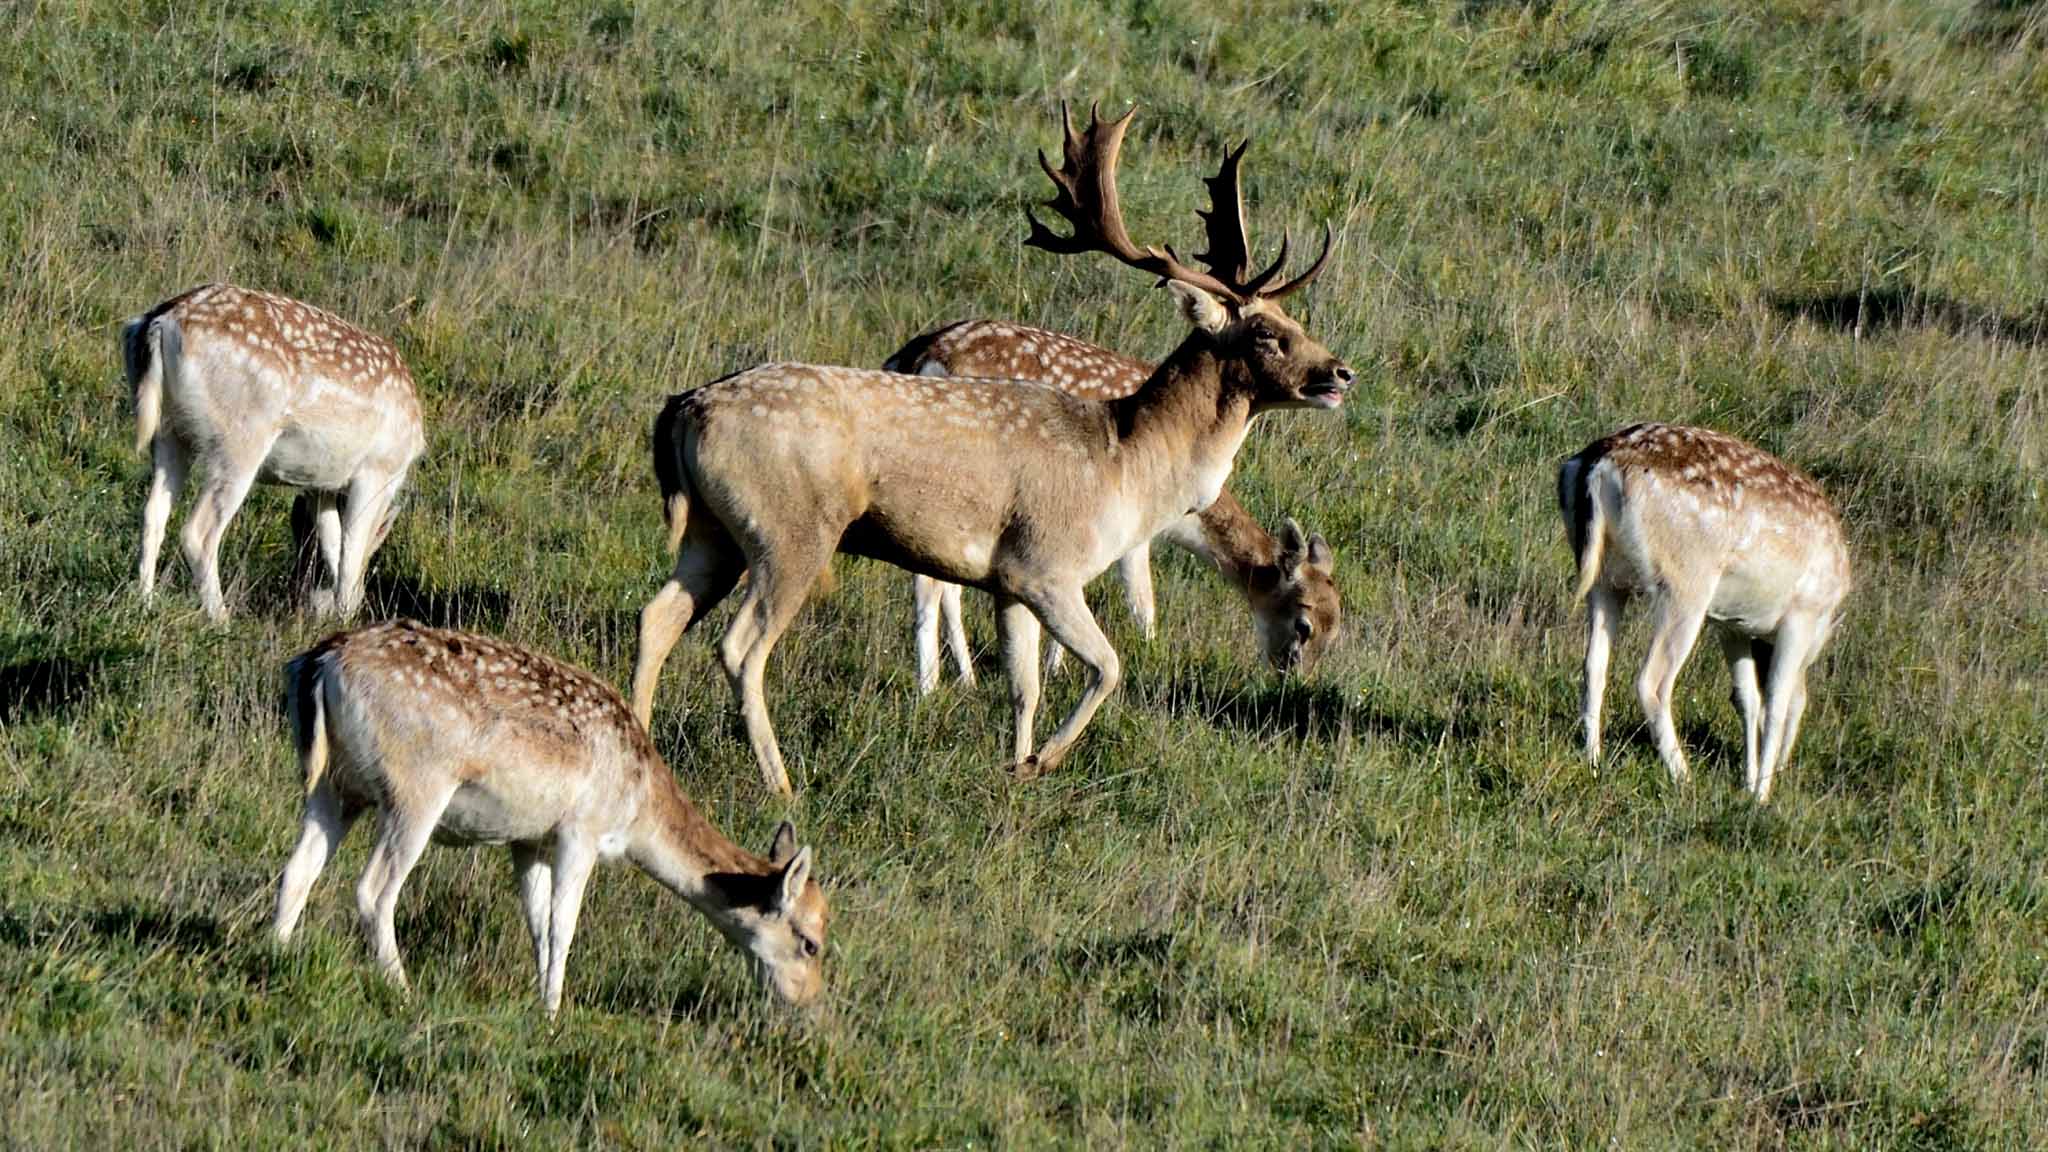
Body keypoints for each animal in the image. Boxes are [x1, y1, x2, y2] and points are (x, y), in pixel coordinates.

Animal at [122, 282, 423, 623]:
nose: (312, 609)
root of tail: (160, 321)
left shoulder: (320, 485)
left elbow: (333, 543)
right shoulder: (376, 471)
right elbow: (350, 555)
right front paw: (345, 616)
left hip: (168, 432)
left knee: (153, 512)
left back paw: (145, 604)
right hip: (240, 438)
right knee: (197, 533)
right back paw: (222, 619)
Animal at [274, 619, 831, 1012]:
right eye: (811, 943)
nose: (807, 1002)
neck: (638, 810)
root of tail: (321, 662)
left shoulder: (529, 840)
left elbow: (538, 923)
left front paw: (539, 998)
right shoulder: (580, 829)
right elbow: (564, 926)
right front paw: (552, 1013)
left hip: (335, 786)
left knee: (297, 870)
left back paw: (275, 954)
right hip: (416, 786)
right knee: (373, 889)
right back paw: (401, 990)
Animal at [884, 315, 1343, 688]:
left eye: (1335, 626)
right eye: (1303, 624)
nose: (1293, 679)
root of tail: (921, 355)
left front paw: (1055, 665)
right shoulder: (1131, 526)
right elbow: (1141, 601)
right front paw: (1147, 655)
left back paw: (964, 677)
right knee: (932, 586)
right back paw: (932, 686)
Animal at [1548, 422, 1859, 799]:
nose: (1785, 770)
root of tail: (1598, 466)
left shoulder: (1733, 625)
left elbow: (1747, 698)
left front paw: (1748, 781)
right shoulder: (1800, 615)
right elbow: (1777, 701)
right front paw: (1761, 795)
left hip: (1605, 578)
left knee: (1593, 664)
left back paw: (1593, 761)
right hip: (1686, 584)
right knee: (1651, 681)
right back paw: (1683, 776)